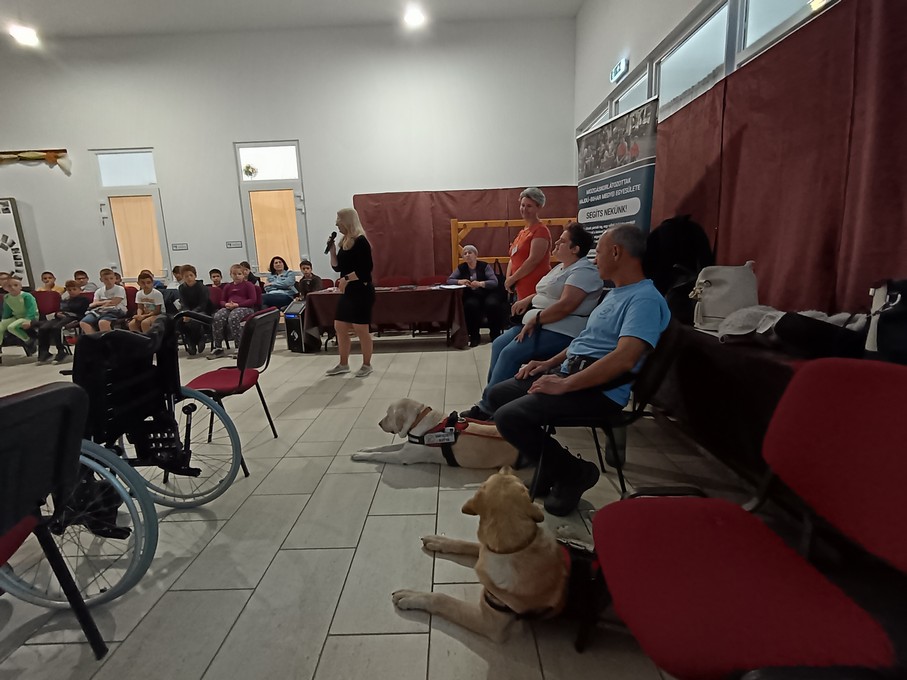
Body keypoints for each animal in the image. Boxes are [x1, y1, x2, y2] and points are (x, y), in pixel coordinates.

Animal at [352, 397, 518, 469]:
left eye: (388, 414)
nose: (379, 423)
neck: (419, 418)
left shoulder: (402, 456)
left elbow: (380, 454)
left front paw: (360, 455)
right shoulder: (408, 445)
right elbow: (383, 447)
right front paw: (365, 449)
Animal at [391, 467, 571, 642]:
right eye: (504, 475)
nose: (506, 466)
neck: (518, 547)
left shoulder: (489, 622)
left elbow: (442, 598)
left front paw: (411, 596)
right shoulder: (486, 548)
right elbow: (467, 544)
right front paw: (440, 541)